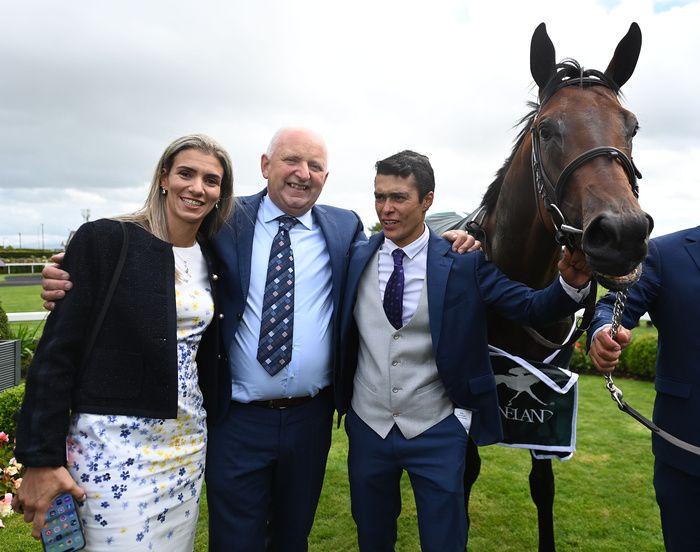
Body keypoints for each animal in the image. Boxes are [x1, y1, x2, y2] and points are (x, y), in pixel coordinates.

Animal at [434, 22, 652, 552]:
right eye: (546, 129)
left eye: (632, 126)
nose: (622, 233)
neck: (522, 287)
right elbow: (466, 466)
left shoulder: (548, 378)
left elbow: (542, 482)